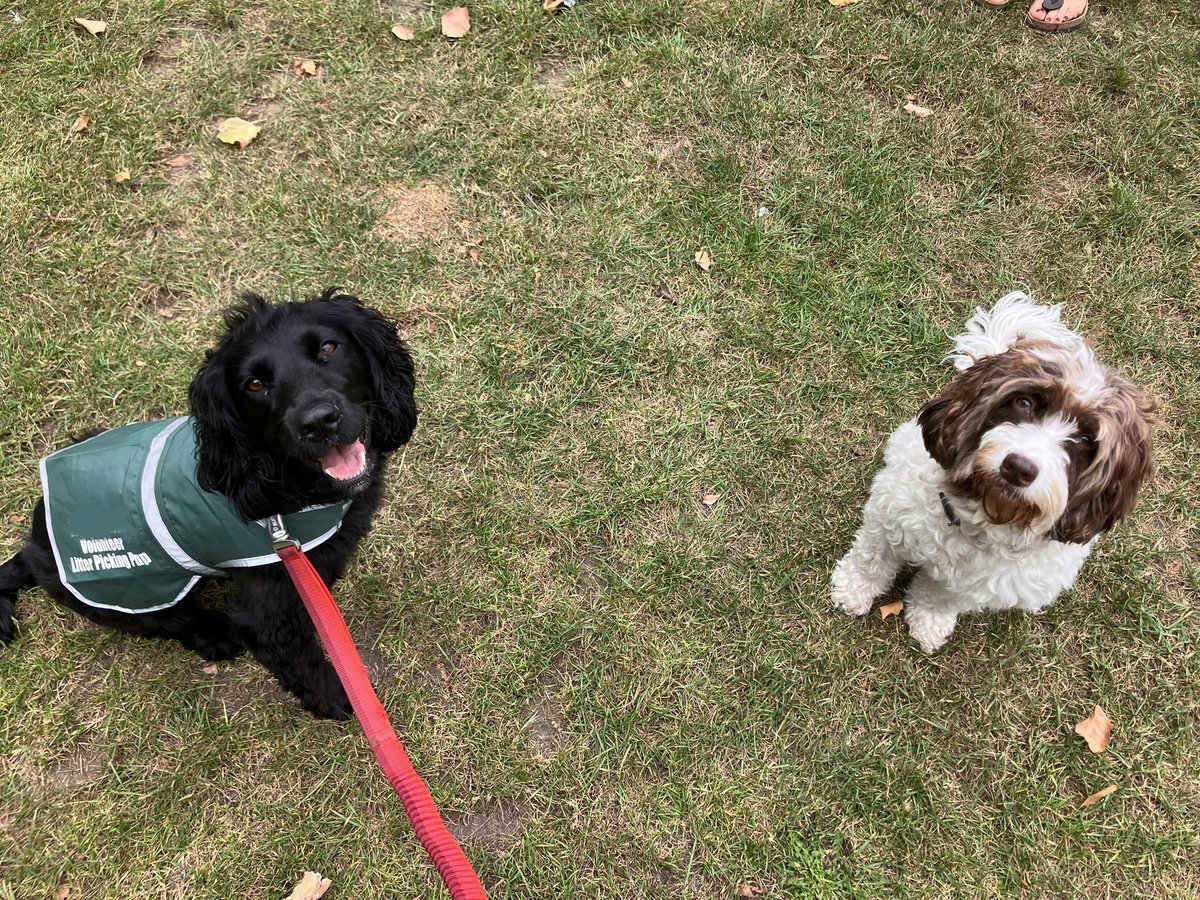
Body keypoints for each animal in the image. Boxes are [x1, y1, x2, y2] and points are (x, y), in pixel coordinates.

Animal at [0, 289, 417, 720]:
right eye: (254, 384)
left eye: (329, 348)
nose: (318, 422)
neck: (286, 486)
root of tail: (33, 543)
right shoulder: (268, 609)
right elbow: (301, 659)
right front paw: (340, 699)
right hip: (130, 591)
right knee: (172, 620)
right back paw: (214, 634)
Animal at [835, 292, 1152, 652]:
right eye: (1024, 403)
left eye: (1086, 440)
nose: (1019, 467)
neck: (978, 519)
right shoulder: (888, 518)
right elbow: (872, 558)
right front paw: (852, 589)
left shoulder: (972, 586)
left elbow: (940, 595)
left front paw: (929, 621)